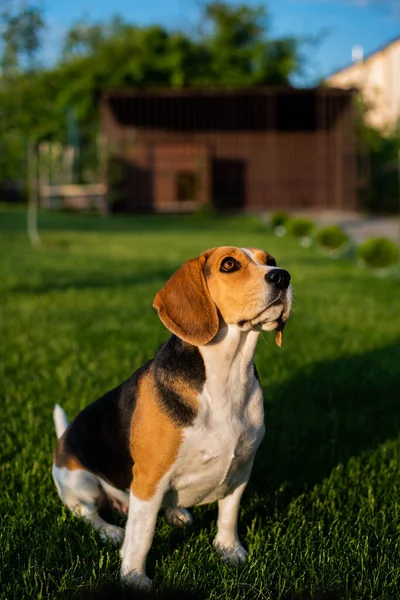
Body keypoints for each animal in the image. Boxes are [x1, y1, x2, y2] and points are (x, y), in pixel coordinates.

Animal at [51, 246, 292, 588]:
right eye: (229, 264)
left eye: (270, 261)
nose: (282, 276)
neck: (227, 376)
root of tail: (62, 440)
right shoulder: (149, 480)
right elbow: (142, 536)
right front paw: (134, 578)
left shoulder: (242, 469)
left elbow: (228, 515)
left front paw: (229, 550)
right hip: (79, 481)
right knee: (88, 513)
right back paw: (110, 531)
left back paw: (177, 514)